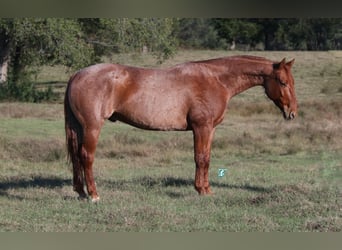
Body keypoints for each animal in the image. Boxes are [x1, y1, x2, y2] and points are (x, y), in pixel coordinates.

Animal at [64, 54, 296, 201]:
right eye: (283, 82)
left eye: (292, 82)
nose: (292, 112)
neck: (216, 79)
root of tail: (77, 74)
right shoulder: (201, 127)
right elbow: (200, 158)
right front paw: (201, 190)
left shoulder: (210, 129)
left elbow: (206, 158)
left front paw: (207, 189)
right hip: (92, 127)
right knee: (86, 157)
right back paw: (94, 195)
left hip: (79, 127)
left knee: (77, 156)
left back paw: (81, 192)